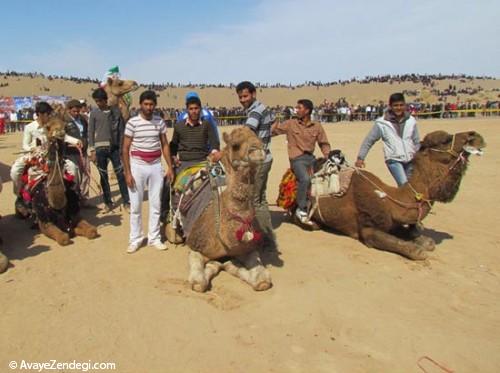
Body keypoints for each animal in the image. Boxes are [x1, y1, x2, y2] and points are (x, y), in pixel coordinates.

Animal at [18, 115, 97, 246]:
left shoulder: (74, 213)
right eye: (48, 127)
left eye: (65, 126)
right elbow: (64, 238)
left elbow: (92, 231)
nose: (60, 132)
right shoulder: (44, 222)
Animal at [184, 126, 272, 292]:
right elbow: (199, 283)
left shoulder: (247, 248)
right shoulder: (195, 246)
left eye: (259, 139)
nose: (258, 152)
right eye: (235, 145)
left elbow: (263, 281)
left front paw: (231, 265)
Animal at [278, 130, 484, 258]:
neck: (389, 200)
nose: (474, 135)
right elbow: (410, 248)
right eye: (445, 139)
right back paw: (312, 223)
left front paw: (422, 239)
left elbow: (421, 239)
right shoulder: (368, 229)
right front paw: (418, 249)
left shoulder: (393, 223)